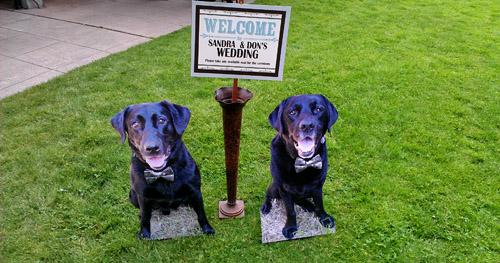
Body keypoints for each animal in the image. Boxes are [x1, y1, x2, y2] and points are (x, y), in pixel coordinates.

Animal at [112, 101, 214, 239]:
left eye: (162, 120)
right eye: (134, 124)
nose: (152, 148)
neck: (162, 172)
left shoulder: (195, 191)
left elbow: (201, 213)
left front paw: (207, 229)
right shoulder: (142, 196)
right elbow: (145, 217)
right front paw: (144, 234)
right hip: (132, 195)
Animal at [260, 95, 338, 241]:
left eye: (318, 109)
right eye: (292, 112)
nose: (307, 126)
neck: (303, 162)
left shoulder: (318, 185)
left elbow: (320, 204)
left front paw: (324, 219)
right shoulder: (284, 189)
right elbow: (290, 211)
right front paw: (290, 228)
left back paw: (308, 205)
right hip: (275, 187)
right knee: (269, 195)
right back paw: (266, 206)